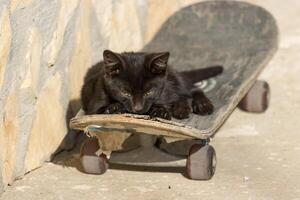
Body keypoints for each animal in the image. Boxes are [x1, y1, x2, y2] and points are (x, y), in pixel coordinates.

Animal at [81, 50, 221, 119]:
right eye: (125, 92)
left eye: (149, 92)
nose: (137, 109)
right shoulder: (95, 104)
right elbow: (100, 110)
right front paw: (114, 108)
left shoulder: (164, 92)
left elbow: (163, 102)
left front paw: (160, 111)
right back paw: (182, 108)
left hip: (173, 79)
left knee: (191, 89)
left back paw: (201, 105)